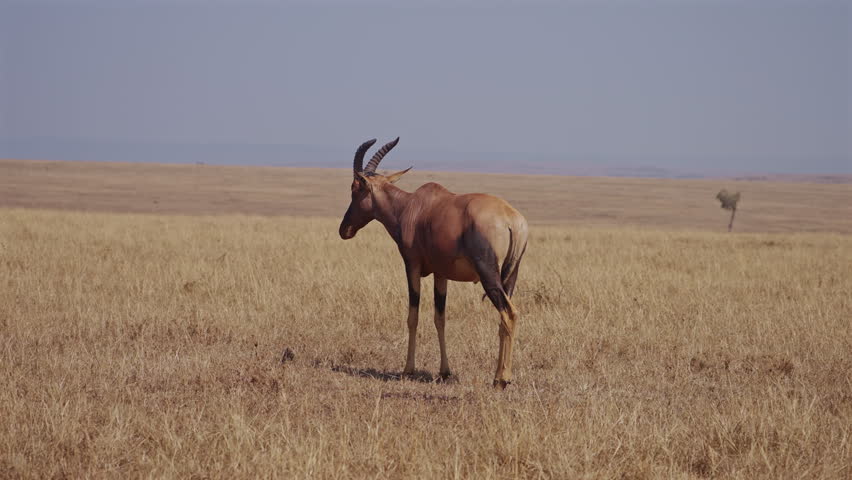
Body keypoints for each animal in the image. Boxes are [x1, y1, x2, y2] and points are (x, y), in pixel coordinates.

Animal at [339, 138, 529, 388]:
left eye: (355, 188)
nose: (344, 230)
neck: (412, 207)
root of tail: (511, 219)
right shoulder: (441, 273)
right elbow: (440, 318)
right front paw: (445, 371)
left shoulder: (412, 265)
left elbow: (413, 316)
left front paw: (408, 369)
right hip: (511, 275)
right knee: (504, 318)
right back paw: (500, 375)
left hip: (488, 273)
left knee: (509, 313)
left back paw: (501, 379)